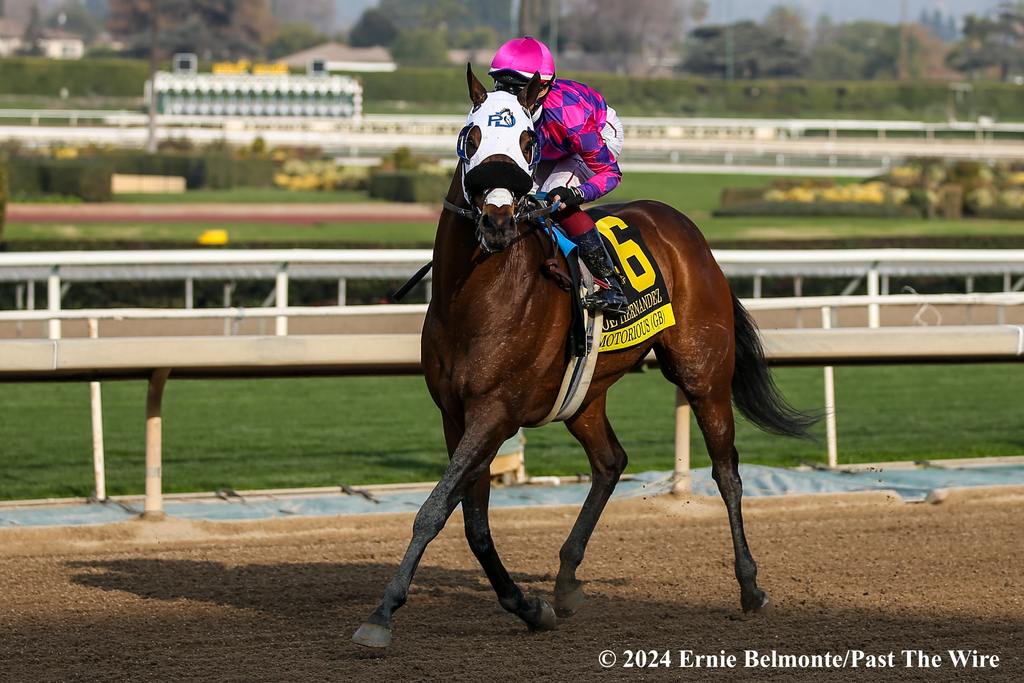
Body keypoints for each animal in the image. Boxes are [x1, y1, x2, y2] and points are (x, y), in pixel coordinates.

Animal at [352, 66, 815, 651]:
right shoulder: (455, 414)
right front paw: (530, 607)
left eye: (529, 140)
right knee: (610, 461)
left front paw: (382, 613)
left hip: (703, 373)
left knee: (726, 470)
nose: (499, 221)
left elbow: (434, 510)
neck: (476, 298)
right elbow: (472, 522)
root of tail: (688, 232)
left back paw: (750, 586)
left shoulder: (495, 413)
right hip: (585, 395)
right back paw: (568, 580)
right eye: (470, 135)